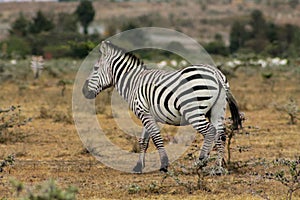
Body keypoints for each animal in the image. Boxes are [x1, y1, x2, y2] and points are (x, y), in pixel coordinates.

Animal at [82, 41, 241, 173]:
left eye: (95, 68)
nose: (84, 91)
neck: (133, 82)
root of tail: (216, 73)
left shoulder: (143, 112)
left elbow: (156, 137)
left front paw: (164, 165)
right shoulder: (148, 114)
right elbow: (144, 141)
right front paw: (139, 166)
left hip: (193, 111)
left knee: (210, 131)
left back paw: (200, 162)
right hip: (217, 111)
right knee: (221, 134)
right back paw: (218, 168)